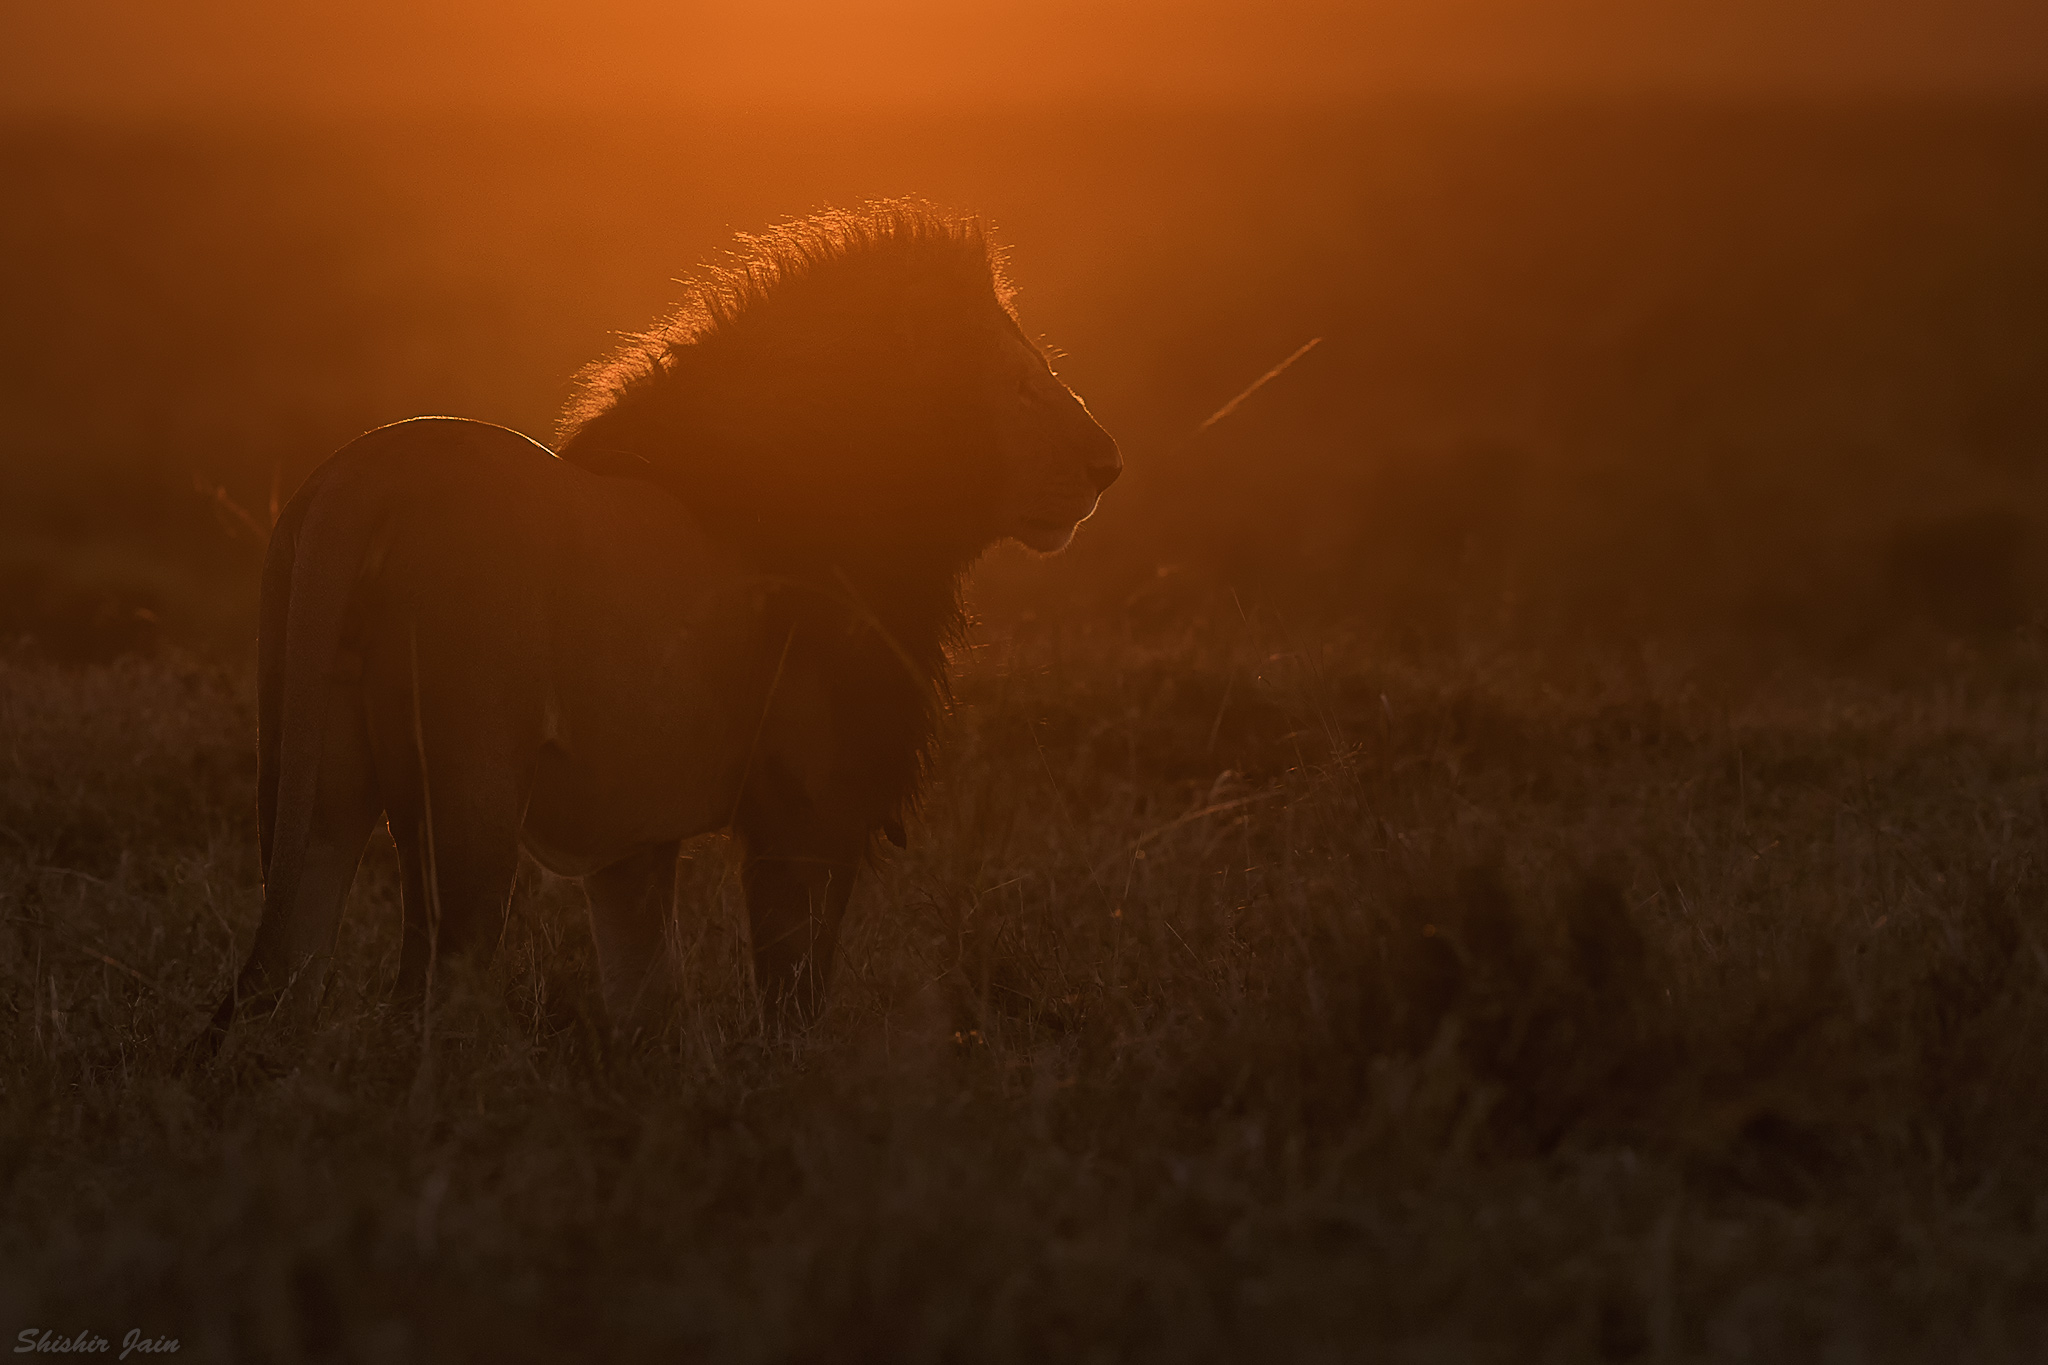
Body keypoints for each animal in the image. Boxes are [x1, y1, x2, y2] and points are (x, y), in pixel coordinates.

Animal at [211, 197, 1122, 1039]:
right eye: (1020, 383)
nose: (1108, 461)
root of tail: (362, 480)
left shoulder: (631, 845)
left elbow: (647, 1004)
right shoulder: (808, 810)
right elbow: (792, 1002)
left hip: (315, 789)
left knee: (271, 983)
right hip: (469, 798)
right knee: (422, 1005)